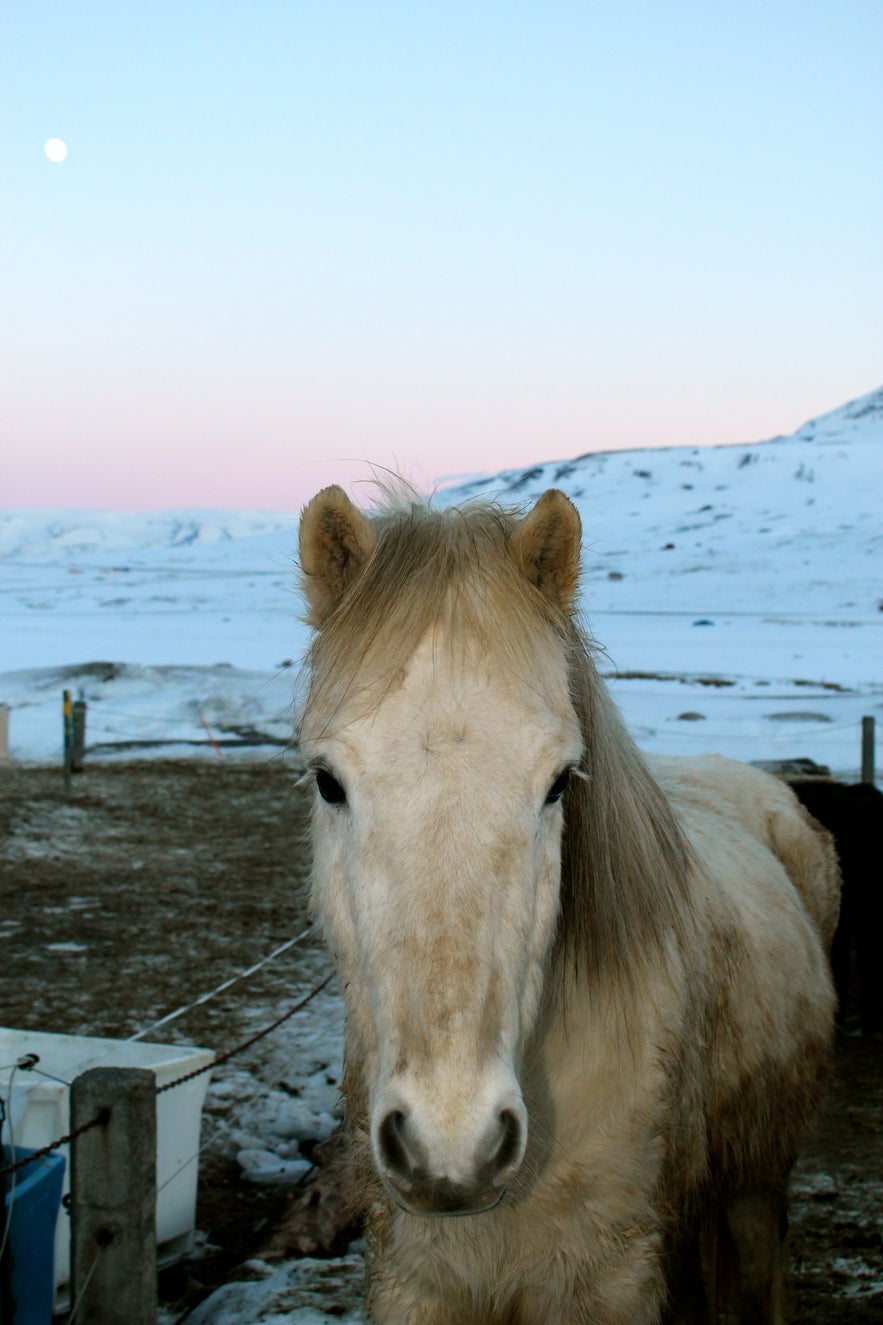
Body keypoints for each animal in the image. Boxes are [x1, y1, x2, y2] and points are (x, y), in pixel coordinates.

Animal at [294, 487, 832, 1325]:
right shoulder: (415, 1285)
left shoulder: (608, 1282)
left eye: (556, 782)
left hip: (757, 1183)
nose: (451, 1145)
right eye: (327, 781)